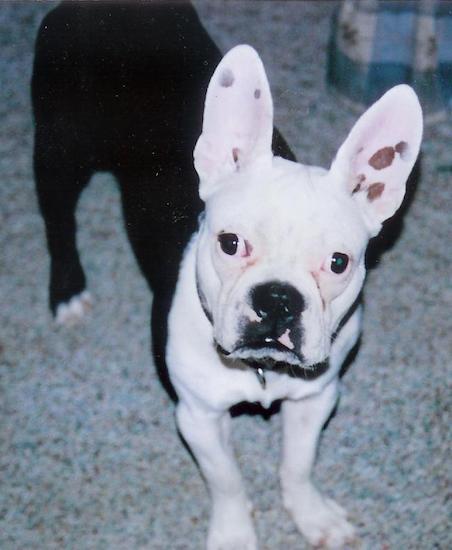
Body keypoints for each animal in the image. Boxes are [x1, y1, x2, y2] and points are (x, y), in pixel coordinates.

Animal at [32, 2, 424, 548]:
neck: (262, 369)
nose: (278, 299)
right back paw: (68, 291)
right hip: (61, 147)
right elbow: (228, 481)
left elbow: (298, 464)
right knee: (58, 220)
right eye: (231, 244)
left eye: (338, 263)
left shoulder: (316, 398)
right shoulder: (198, 416)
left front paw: (311, 515)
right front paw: (236, 533)